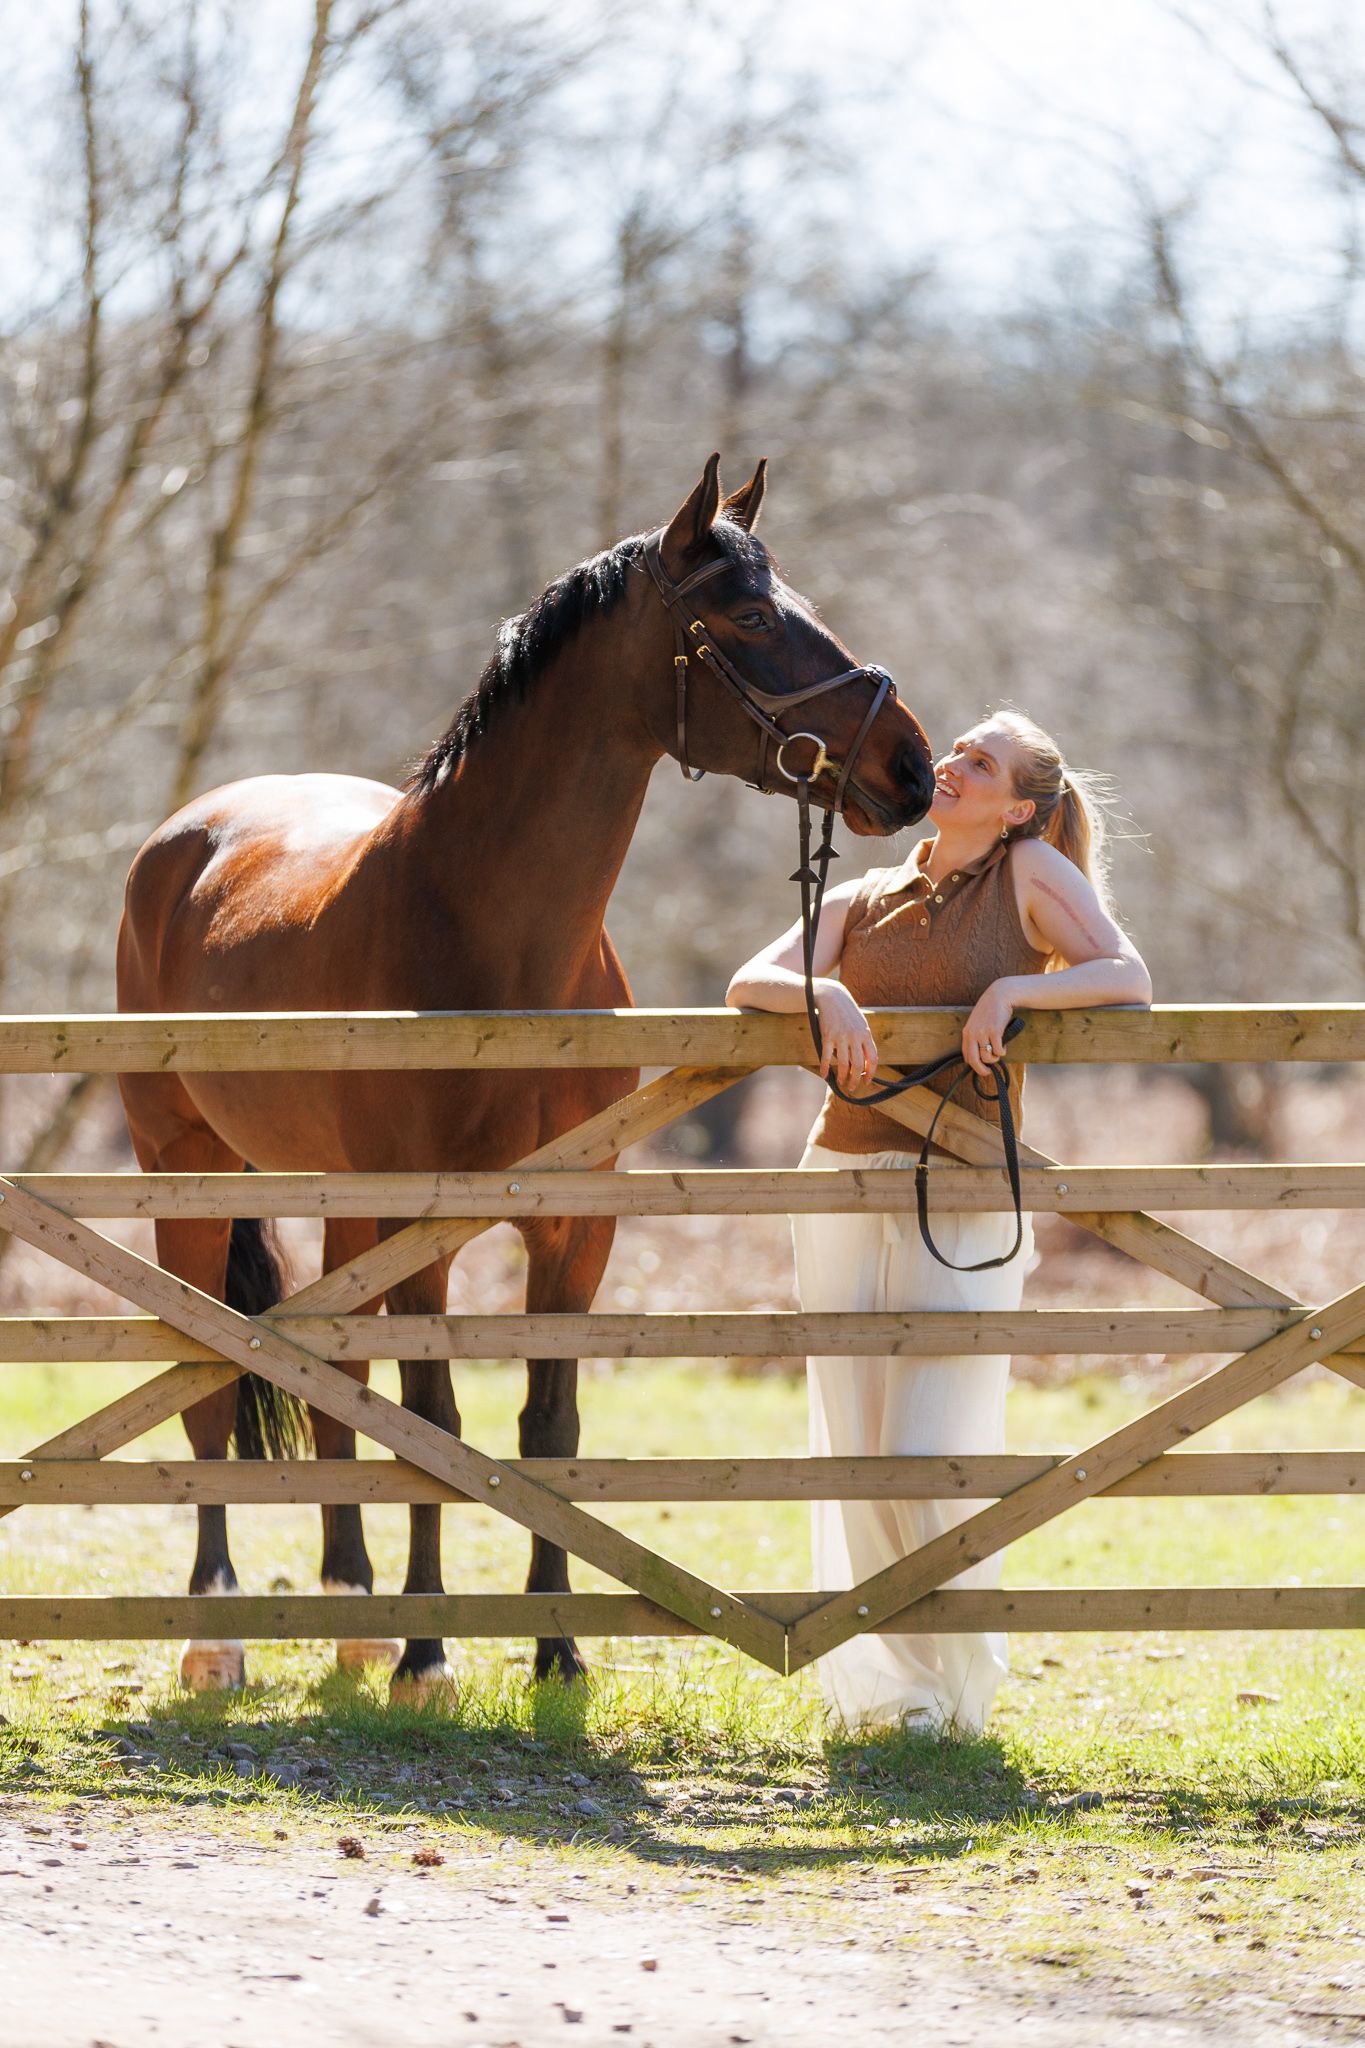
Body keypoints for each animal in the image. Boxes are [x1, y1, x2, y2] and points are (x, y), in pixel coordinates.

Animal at [115, 454, 935, 1696]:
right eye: (750, 615)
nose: (915, 766)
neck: (490, 940)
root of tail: (187, 834)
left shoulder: (572, 1223)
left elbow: (547, 1427)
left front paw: (555, 1650)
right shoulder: (425, 1225)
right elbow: (434, 1419)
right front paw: (428, 1655)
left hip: (343, 1209)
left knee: (336, 1390)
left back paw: (352, 1608)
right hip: (192, 1173)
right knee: (212, 1396)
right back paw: (220, 1631)